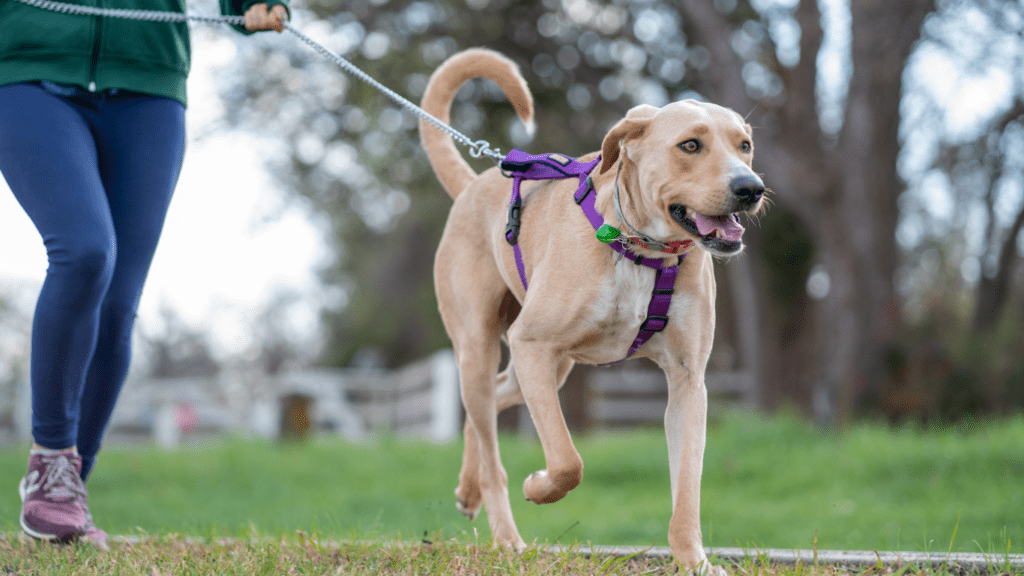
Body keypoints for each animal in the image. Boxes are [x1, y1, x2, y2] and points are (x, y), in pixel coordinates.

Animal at [415, 47, 761, 569]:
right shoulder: (533, 345)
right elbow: (567, 461)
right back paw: (506, 536)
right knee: (490, 441)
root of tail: (477, 184)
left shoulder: (687, 380)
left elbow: (687, 490)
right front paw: (538, 487)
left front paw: (693, 560)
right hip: (483, 347)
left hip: (546, 368)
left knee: (489, 405)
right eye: (690, 145)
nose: (751, 188)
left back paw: (468, 489)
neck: (640, 250)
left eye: (744, 145)